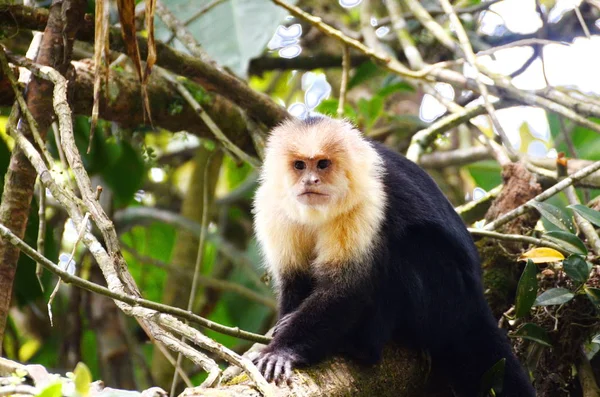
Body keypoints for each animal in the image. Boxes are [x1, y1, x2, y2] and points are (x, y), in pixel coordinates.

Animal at [251, 113, 532, 392]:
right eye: (299, 165)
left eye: (322, 164)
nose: (310, 181)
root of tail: (476, 301)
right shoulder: (273, 207)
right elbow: (294, 278)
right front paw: (283, 328)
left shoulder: (367, 200)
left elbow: (347, 287)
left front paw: (282, 350)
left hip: (450, 297)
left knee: (402, 251)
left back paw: (364, 347)